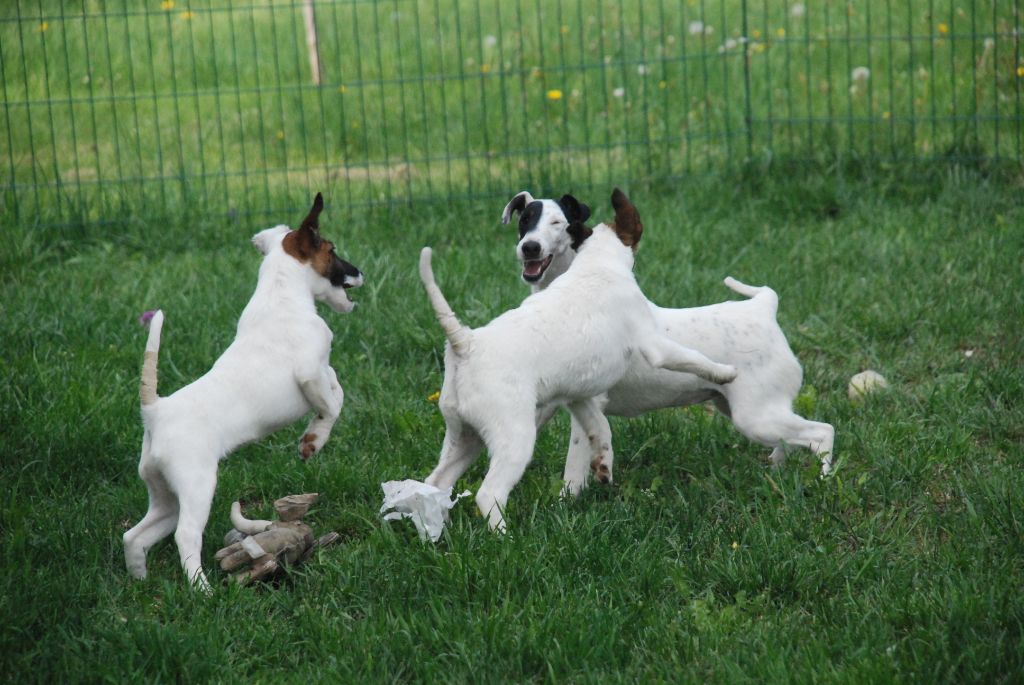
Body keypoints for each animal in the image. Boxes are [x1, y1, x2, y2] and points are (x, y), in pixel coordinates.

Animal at [123, 192, 364, 589]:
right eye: (332, 250)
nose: (360, 273)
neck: (282, 295)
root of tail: (154, 410)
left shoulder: (320, 372)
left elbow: (336, 388)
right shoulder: (309, 372)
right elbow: (332, 404)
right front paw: (313, 440)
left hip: (164, 494)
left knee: (134, 536)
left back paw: (139, 579)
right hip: (197, 485)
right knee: (185, 535)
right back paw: (202, 589)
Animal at [417, 189, 737, 532]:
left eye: (557, 223)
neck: (596, 265)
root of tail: (466, 343)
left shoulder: (578, 395)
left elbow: (599, 428)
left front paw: (604, 465)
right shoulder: (654, 345)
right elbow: (690, 357)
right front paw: (724, 372)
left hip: (464, 437)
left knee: (435, 482)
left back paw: (432, 532)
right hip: (514, 438)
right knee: (489, 493)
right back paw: (505, 537)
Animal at [499, 189, 835, 485]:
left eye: (558, 222)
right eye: (524, 221)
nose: (529, 247)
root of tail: (764, 307)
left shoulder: (588, 403)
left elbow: (574, 466)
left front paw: (568, 499)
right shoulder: (546, 404)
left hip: (756, 417)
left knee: (822, 432)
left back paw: (822, 480)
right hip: (749, 410)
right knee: (790, 440)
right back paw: (777, 469)